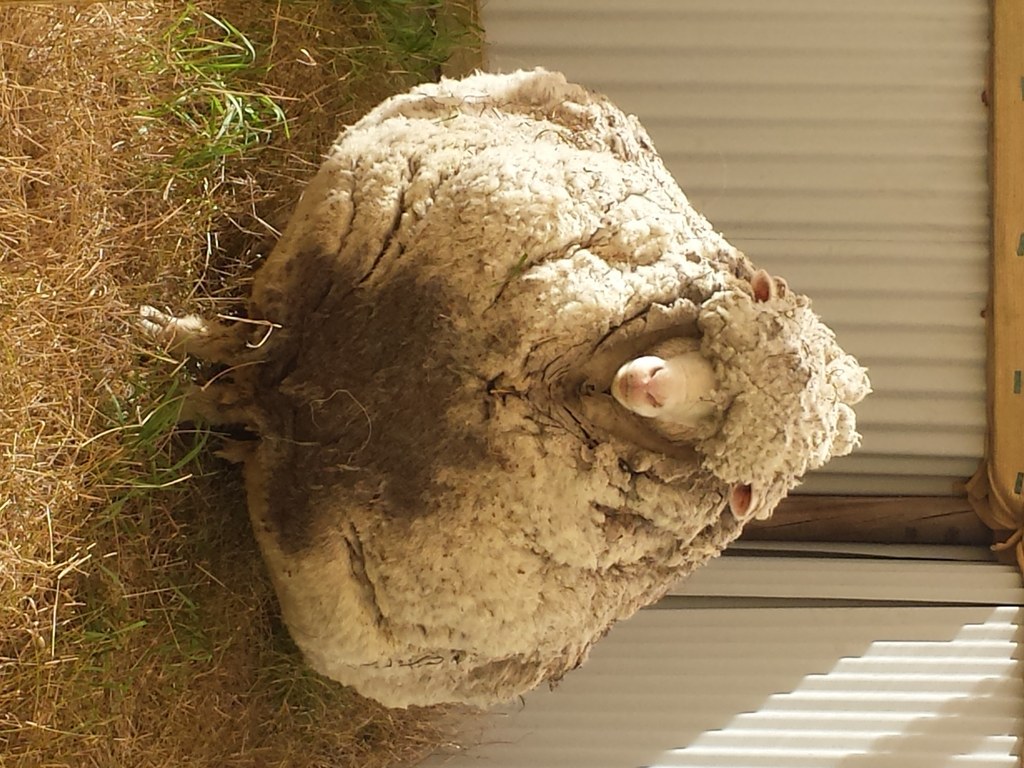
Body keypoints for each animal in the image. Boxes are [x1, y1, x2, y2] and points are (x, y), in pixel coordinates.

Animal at [142, 68, 870, 709]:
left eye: (721, 456)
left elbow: (228, 372)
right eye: (725, 352)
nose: (646, 385)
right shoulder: (321, 298)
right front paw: (155, 346)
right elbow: (229, 344)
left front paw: (163, 394)